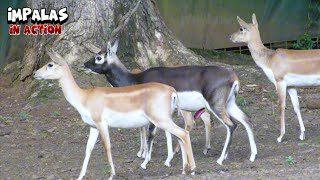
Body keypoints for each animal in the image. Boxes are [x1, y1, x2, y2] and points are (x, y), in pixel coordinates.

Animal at [33, 50, 196, 180]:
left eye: (50, 64)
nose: (35, 74)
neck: (84, 98)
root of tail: (172, 91)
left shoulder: (101, 123)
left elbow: (107, 146)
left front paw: (112, 174)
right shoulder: (93, 127)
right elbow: (88, 149)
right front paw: (80, 176)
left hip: (160, 119)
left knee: (184, 133)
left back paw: (193, 169)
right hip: (165, 119)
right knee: (181, 135)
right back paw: (183, 169)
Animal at [230, 13, 320, 143]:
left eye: (241, 28)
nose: (230, 37)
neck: (269, 59)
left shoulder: (280, 82)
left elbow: (281, 106)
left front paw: (280, 136)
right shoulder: (291, 86)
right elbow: (296, 107)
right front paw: (302, 134)